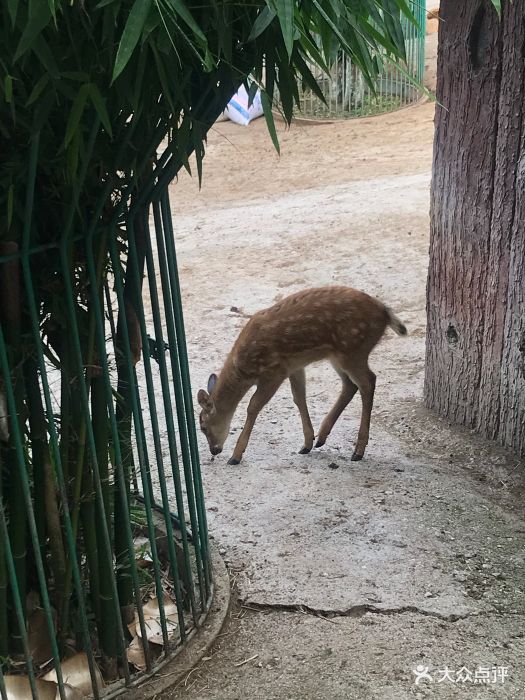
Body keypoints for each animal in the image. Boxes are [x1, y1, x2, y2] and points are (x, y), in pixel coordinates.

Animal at [196, 284, 406, 464]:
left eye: (203, 427)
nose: (214, 450)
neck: (246, 369)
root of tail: (385, 312)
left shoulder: (275, 371)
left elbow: (253, 406)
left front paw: (236, 456)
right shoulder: (294, 366)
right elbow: (299, 398)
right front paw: (307, 443)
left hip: (353, 349)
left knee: (368, 381)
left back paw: (358, 451)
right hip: (338, 355)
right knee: (350, 384)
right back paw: (322, 438)